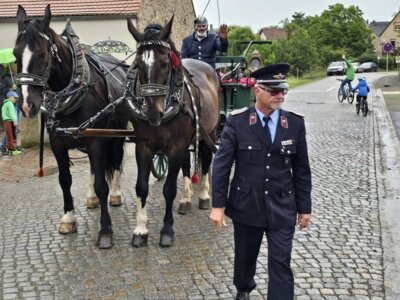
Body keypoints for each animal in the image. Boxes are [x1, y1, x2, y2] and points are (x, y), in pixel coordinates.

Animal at [13, 4, 130, 248]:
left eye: (43, 54)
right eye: (15, 54)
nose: (27, 105)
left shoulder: (97, 140)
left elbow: (102, 184)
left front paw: (106, 230)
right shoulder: (58, 142)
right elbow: (65, 179)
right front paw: (68, 218)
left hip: (117, 133)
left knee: (115, 160)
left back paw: (115, 194)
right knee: (95, 167)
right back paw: (92, 199)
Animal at [125, 17, 219, 246]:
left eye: (165, 64)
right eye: (137, 64)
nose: (153, 113)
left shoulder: (176, 146)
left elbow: (168, 190)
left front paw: (167, 230)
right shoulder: (144, 146)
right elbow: (141, 187)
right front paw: (140, 230)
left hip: (210, 133)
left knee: (206, 159)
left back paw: (204, 196)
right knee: (187, 164)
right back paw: (186, 199)